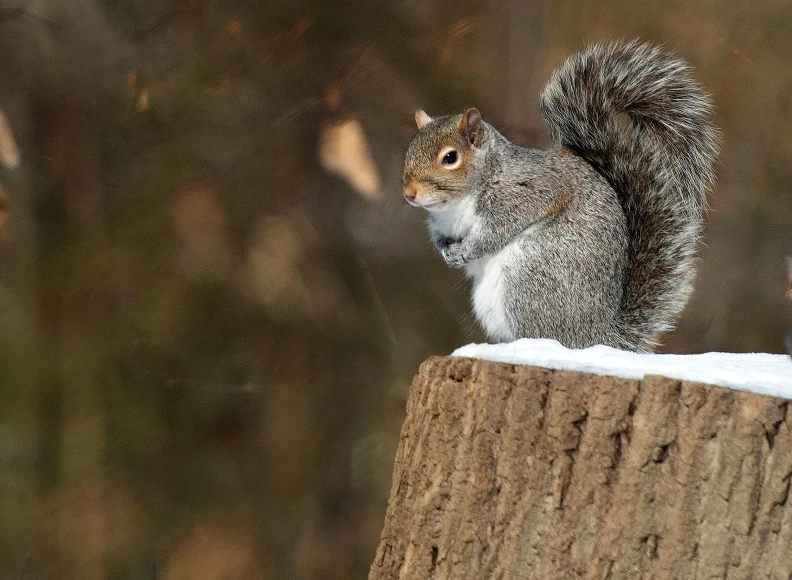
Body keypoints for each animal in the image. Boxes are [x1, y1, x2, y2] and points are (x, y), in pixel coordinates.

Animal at [406, 42, 720, 354]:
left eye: (450, 157)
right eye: (409, 151)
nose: (409, 193)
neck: (455, 205)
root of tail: (599, 336)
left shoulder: (529, 192)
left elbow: (498, 231)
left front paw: (469, 249)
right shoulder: (440, 223)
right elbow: (440, 238)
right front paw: (448, 252)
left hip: (529, 278)